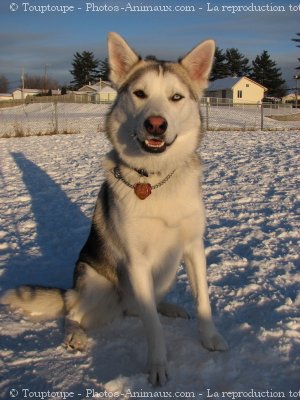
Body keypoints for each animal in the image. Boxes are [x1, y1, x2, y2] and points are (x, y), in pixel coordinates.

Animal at [1, 32, 227, 386]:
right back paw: (76, 334)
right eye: (140, 94)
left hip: (166, 271)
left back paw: (169, 307)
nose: (156, 124)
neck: (155, 179)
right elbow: (152, 328)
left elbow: (202, 298)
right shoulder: (137, 260)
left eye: (176, 97)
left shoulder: (192, 247)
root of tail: (72, 290)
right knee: (75, 313)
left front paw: (210, 338)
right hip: (98, 286)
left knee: (138, 307)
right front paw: (157, 365)